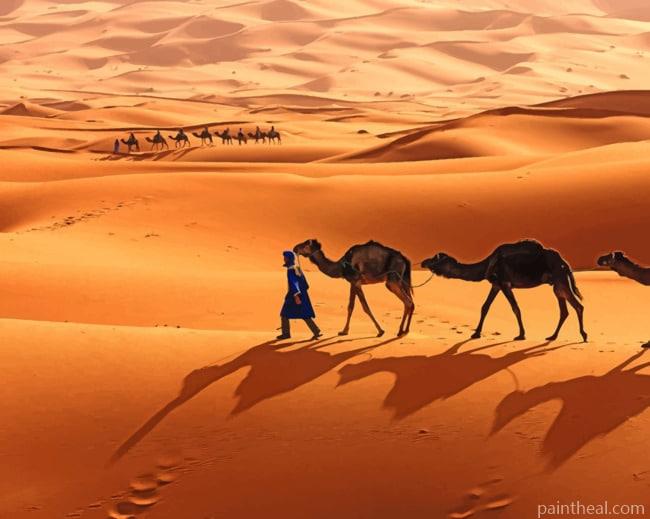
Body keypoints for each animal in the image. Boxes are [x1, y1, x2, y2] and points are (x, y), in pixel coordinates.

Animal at [422, 239, 587, 342]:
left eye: (434, 259)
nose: (423, 262)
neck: (487, 264)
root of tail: (565, 263)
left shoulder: (505, 283)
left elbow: (515, 308)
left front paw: (521, 335)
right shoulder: (496, 285)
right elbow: (485, 307)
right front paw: (476, 333)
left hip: (561, 279)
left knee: (578, 306)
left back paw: (584, 336)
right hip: (557, 286)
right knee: (565, 311)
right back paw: (552, 336)